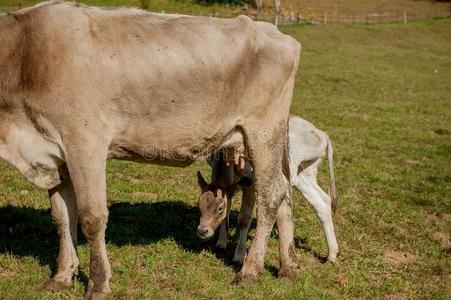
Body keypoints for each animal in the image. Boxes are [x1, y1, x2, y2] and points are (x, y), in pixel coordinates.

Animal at [0, 1, 304, 298]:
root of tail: (279, 35)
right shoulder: (55, 153)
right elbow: (63, 217)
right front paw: (62, 276)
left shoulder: (85, 143)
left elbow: (91, 217)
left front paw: (98, 284)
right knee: (284, 193)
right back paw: (288, 267)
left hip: (262, 132)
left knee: (271, 194)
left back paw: (250, 270)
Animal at [197, 116, 340, 264]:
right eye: (199, 204)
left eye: (219, 208)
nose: (202, 230)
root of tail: (320, 133)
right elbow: (228, 209)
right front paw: (221, 242)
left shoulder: (250, 184)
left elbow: (244, 219)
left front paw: (239, 255)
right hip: (304, 173)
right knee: (322, 202)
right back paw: (331, 254)